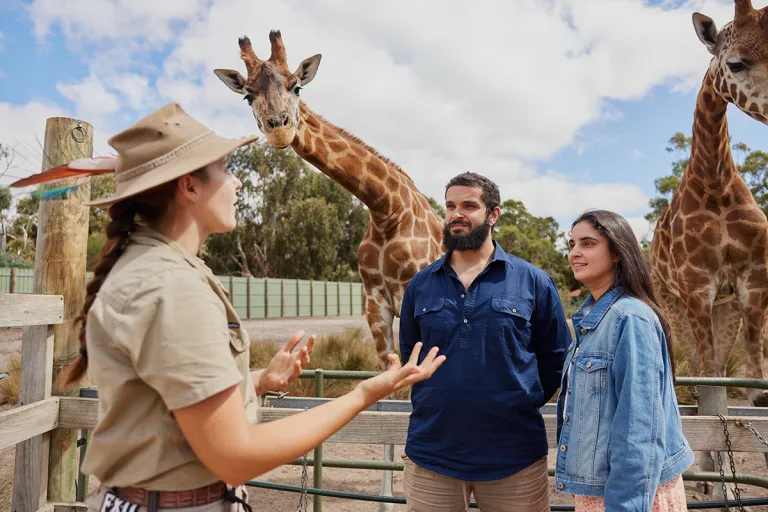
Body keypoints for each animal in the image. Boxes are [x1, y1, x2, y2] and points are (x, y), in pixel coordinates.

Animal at [214, 31, 444, 368]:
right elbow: (389, 369)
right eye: (247, 96)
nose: (279, 129)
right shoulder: (374, 303)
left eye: (296, 86)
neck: (387, 208)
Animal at [648, 0, 768, 410]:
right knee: (696, 361)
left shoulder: (753, 278)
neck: (716, 184)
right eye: (735, 63)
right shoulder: (696, 286)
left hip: (723, 306)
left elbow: (747, 378)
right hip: (671, 302)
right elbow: (710, 369)